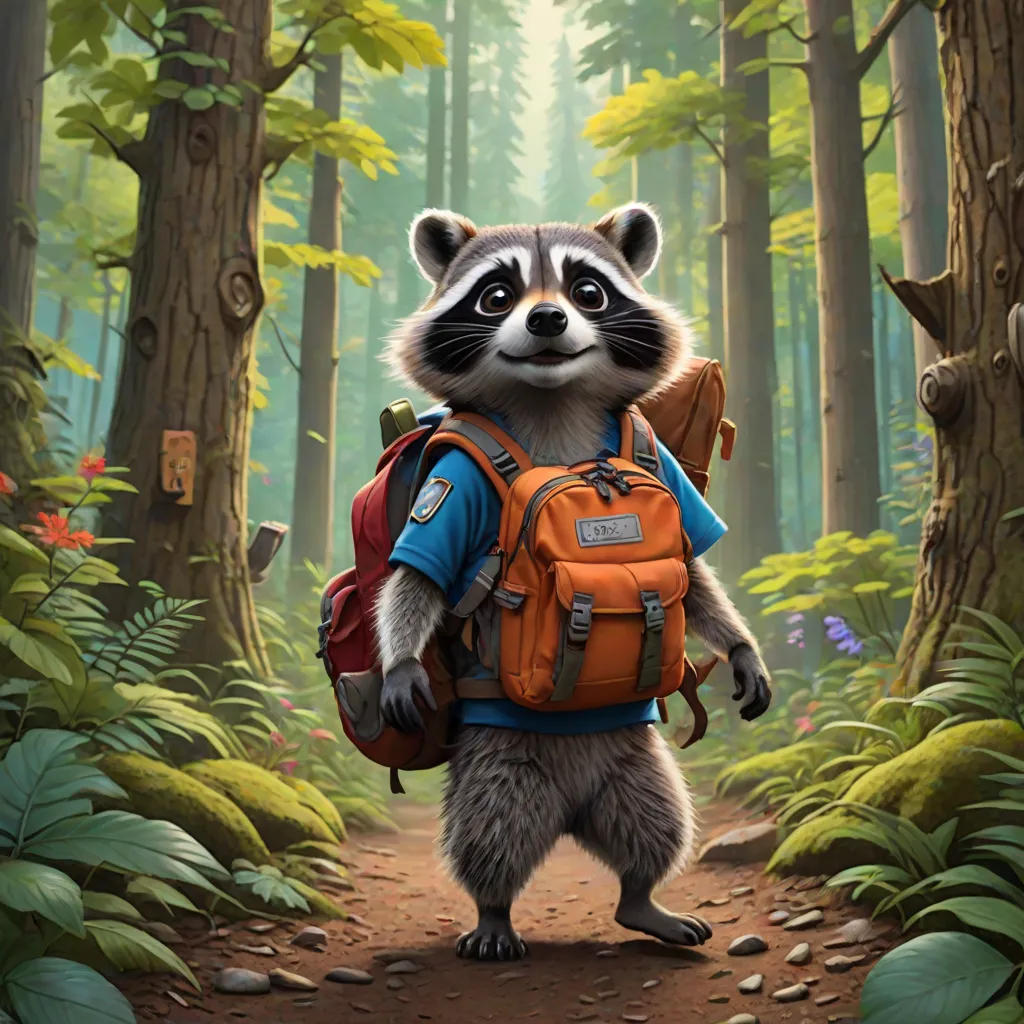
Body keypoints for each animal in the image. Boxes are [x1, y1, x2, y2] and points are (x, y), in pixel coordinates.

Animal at [376, 204, 771, 961]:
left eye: (588, 291)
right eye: (496, 296)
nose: (547, 319)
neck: (550, 403)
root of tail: (568, 811)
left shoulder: (666, 469)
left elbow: (692, 567)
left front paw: (743, 650)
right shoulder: (452, 483)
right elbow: (415, 578)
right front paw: (403, 664)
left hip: (633, 763)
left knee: (656, 821)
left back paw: (644, 899)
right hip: (501, 759)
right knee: (490, 829)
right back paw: (494, 911)